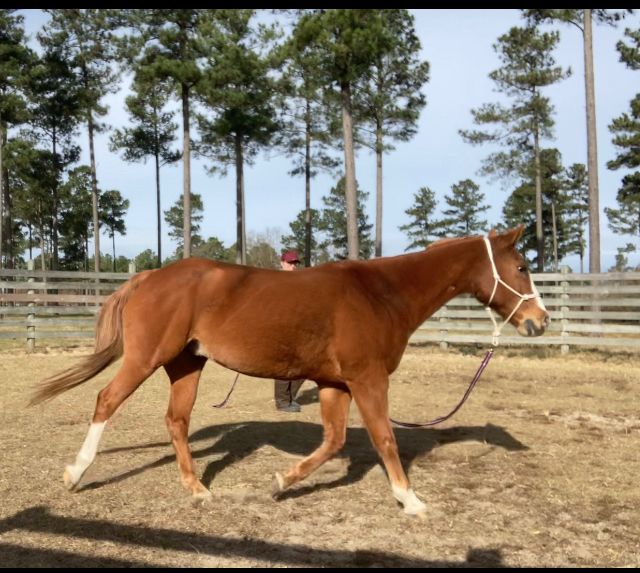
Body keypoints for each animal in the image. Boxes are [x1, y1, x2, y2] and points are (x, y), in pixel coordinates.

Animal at [30, 226, 549, 516]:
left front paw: (281, 482)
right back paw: (75, 474)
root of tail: (149, 276)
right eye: (523, 266)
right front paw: (410, 500)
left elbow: (334, 442)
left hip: (186, 364)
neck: (381, 293)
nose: (539, 322)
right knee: (106, 401)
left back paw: (198, 490)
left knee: (176, 421)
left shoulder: (335, 384)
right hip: (146, 358)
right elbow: (385, 439)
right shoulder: (367, 379)